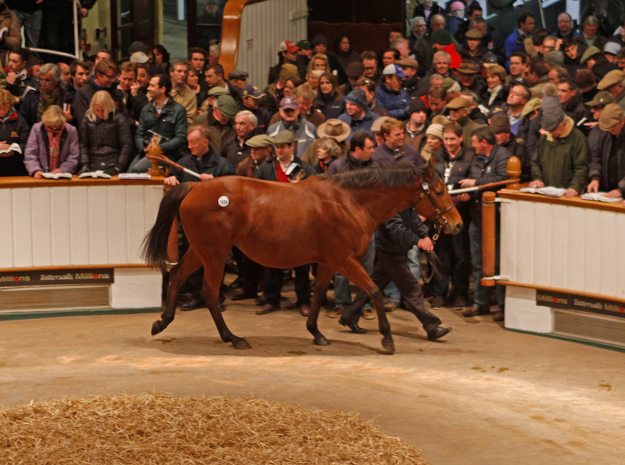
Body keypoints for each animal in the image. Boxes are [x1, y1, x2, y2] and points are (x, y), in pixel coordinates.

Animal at [143, 160, 464, 352]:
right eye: (438, 191)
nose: (457, 224)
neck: (351, 202)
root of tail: (194, 186)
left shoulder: (326, 262)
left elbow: (319, 294)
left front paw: (317, 333)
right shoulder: (344, 260)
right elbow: (373, 290)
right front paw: (387, 338)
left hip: (202, 251)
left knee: (178, 276)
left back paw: (162, 322)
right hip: (215, 255)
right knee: (209, 292)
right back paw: (233, 338)